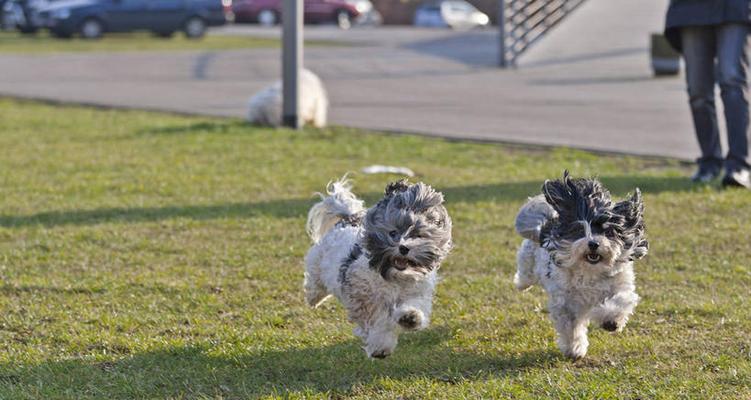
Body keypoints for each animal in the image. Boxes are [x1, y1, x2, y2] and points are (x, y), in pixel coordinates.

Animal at [516, 172, 648, 360]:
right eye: (579, 230)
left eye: (607, 231)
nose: (593, 243)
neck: (589, 270)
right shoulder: (566, 302)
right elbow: (571, 327)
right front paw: (574, 349)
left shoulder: (620, 283)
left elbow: (620, 299)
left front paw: (611, 320)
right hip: (529, 256)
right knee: (525, 268)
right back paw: (522, 284)